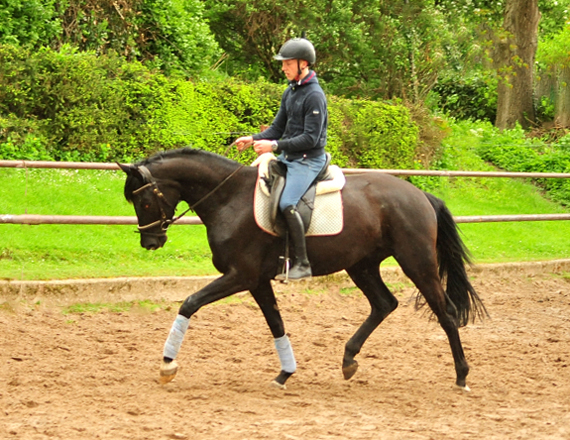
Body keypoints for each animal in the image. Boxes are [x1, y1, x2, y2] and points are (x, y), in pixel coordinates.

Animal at [118, 149, 484, 392]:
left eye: (144, 201)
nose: (150, 242)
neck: (229, 199)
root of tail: (420, 194)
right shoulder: (257, 280)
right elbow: (276, 322)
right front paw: (285, 373)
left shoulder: (240, 275)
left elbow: (190, 303)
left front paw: (168, 364)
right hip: (361, 265)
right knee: (384, 304)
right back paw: (348, 360)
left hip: (417, 263)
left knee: (446, 312)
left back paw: (462, 375)